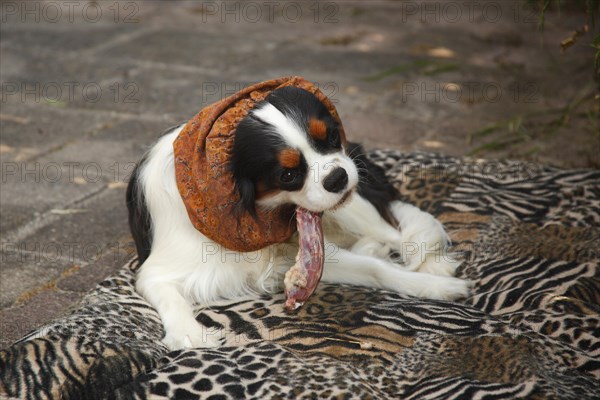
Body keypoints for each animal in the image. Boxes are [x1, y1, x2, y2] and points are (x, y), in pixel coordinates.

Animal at [129, 82, 472, 350]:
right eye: (288, 174)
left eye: (332, 138)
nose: (338, 178)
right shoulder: (156, 269)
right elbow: (165, 292)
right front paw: (189, 332)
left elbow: (377, 269)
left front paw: (433, 286)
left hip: (356, 202)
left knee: (394, 231)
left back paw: (430, 263)